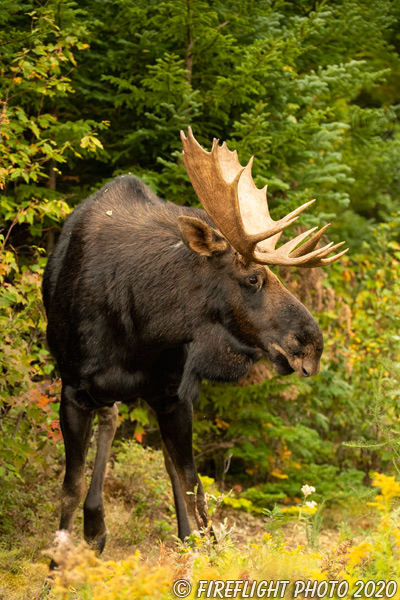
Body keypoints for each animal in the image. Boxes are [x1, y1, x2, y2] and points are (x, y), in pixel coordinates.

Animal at [42, 129, 346, 556]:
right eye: (253, 278)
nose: (311, 346)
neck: (140, 325)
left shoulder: (173, 393)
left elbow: (193, 488)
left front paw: (206, 548)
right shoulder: (72, 389)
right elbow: (69, 486)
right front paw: (58, 560)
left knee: (164, 460)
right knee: (112, 420)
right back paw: (96, 525)